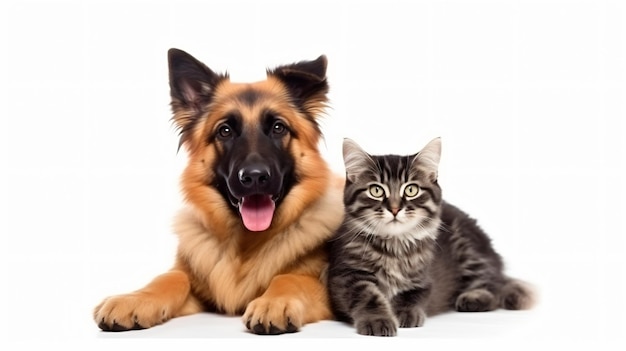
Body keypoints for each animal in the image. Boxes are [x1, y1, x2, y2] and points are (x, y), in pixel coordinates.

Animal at [93, 48, 344, 336]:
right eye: (225, 131)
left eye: (278, 127)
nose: (254, 177)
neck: (245, 246)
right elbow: (170, 277)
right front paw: (134, 299)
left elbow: (290, 278)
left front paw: (274, 303)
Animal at [324, 138, 532, 338]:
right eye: (376, 190)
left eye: (411, 190)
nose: (394, 209)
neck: (394, 246)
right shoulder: (346, 274)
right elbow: (368, 296)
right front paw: (378, 320)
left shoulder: (423, 279)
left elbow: (413, 296)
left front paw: (405, 313)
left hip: (470, 251)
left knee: (493, 284)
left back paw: (474, 297)